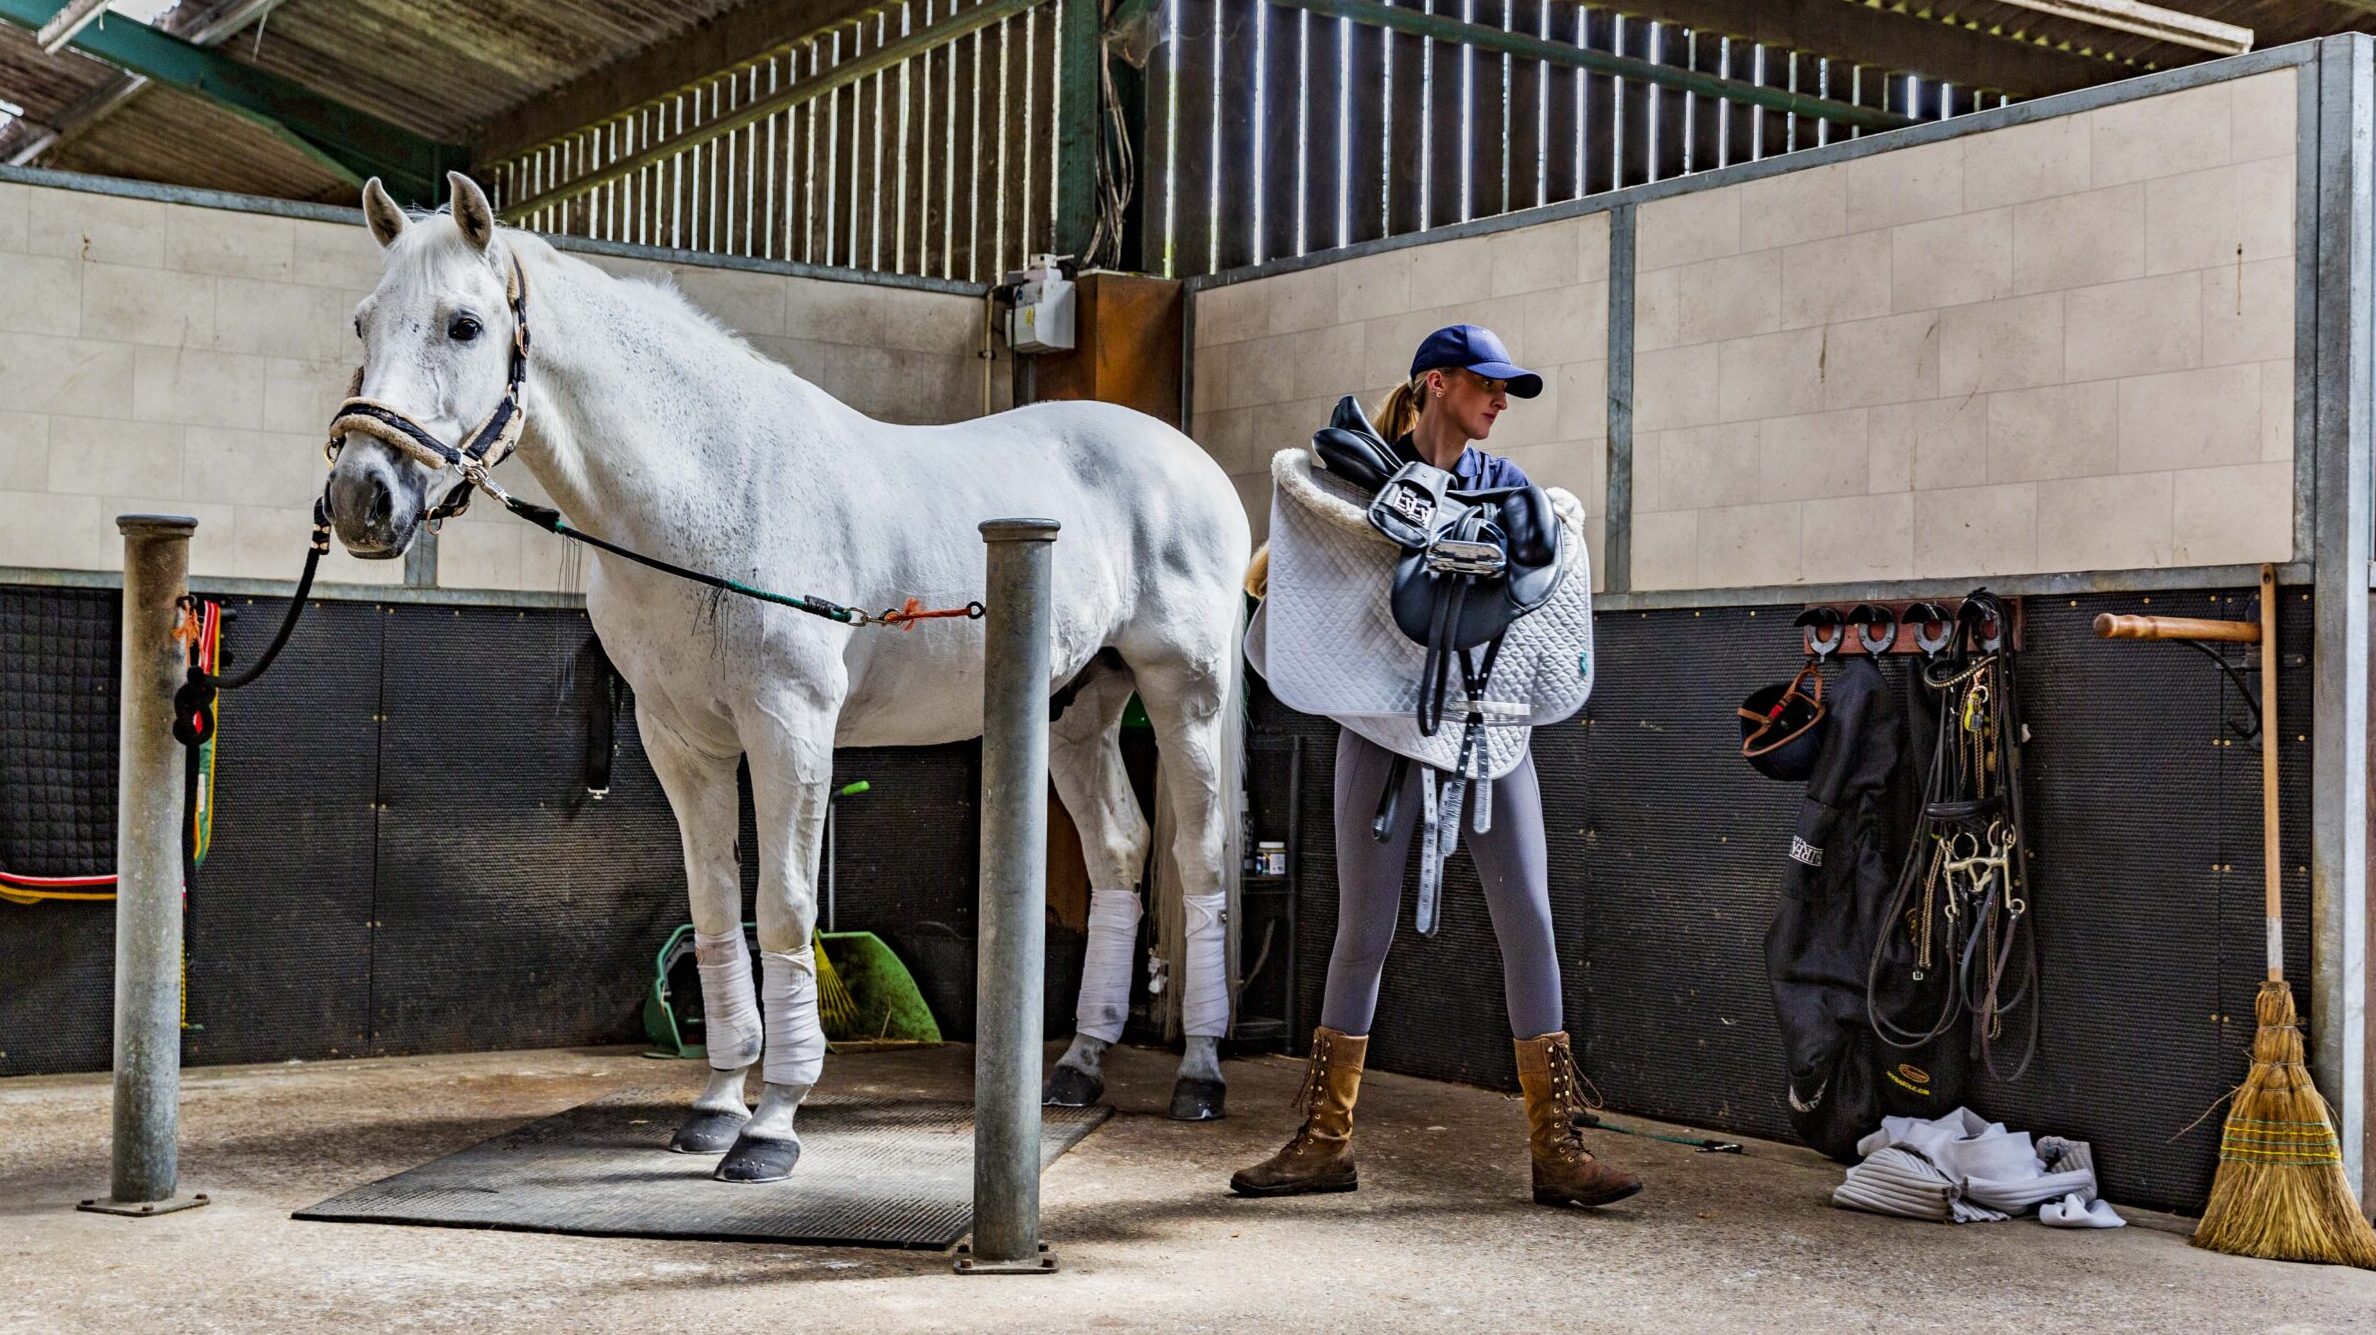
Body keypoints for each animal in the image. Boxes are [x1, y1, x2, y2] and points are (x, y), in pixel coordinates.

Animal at [326, 172, 1248, 1181]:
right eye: (364, 322)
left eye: (465, 324)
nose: (361, 499)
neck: (711, 491)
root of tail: (1191, 464)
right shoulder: (680, 742)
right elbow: (716, 909)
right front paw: (717, 1104)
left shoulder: (789, 728)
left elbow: (782, 914)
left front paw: (773, 1123)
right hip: (1078, 708)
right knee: (1119, 851)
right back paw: (1079, 1063)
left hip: (1184, 696)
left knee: (1200, 857)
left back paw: (1201, 1073)